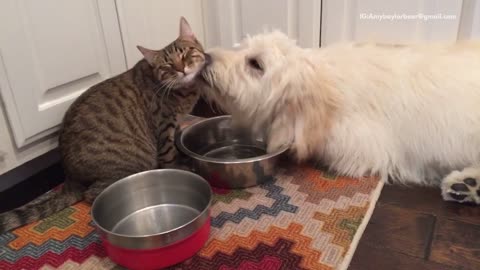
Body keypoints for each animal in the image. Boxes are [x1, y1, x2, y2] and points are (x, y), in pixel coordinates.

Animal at [0, 16, 204, 232]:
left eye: (186, 54)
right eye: (167, 66)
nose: (181, 69)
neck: (184, 92)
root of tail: (69, 176)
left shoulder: (176, 123)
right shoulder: (164, 126)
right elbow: (169, 155)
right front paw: (180, 166)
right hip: (137, 161)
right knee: (92, 193)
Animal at [201, 31, 480, 205]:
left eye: (256, 64)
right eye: (240, 47)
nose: (204, 58)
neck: (325, 86)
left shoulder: (362, 148)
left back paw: (466, 184)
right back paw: (467, 185)